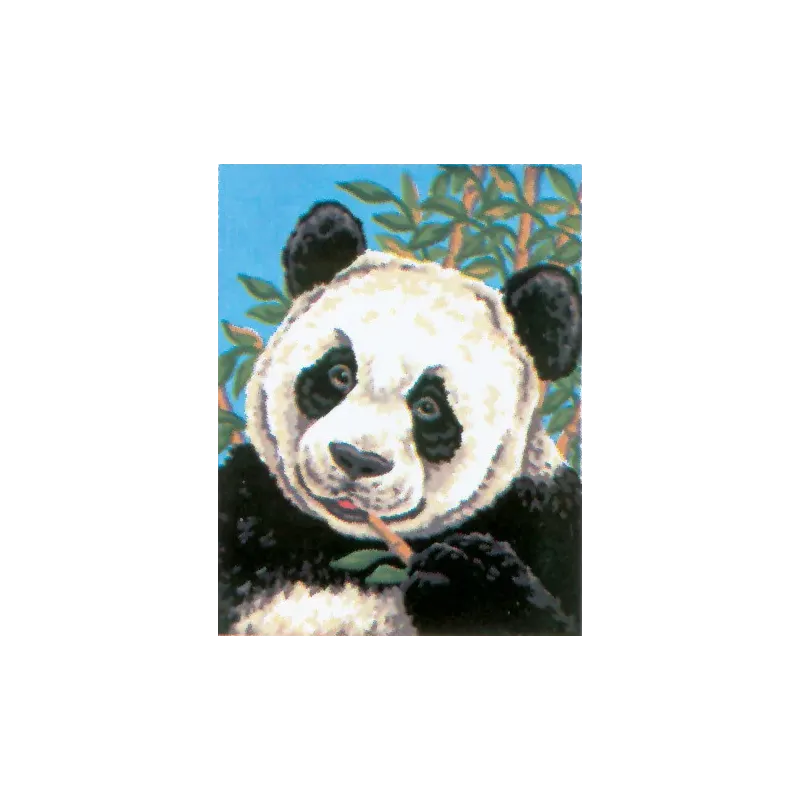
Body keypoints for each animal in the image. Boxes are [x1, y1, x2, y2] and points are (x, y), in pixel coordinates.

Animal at [217, 201, 583, 639]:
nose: (357, 460)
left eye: (428, 406)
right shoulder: (248, 510)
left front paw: (461, 575)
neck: (349, 548)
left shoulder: (547, 516)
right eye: (339, 374)